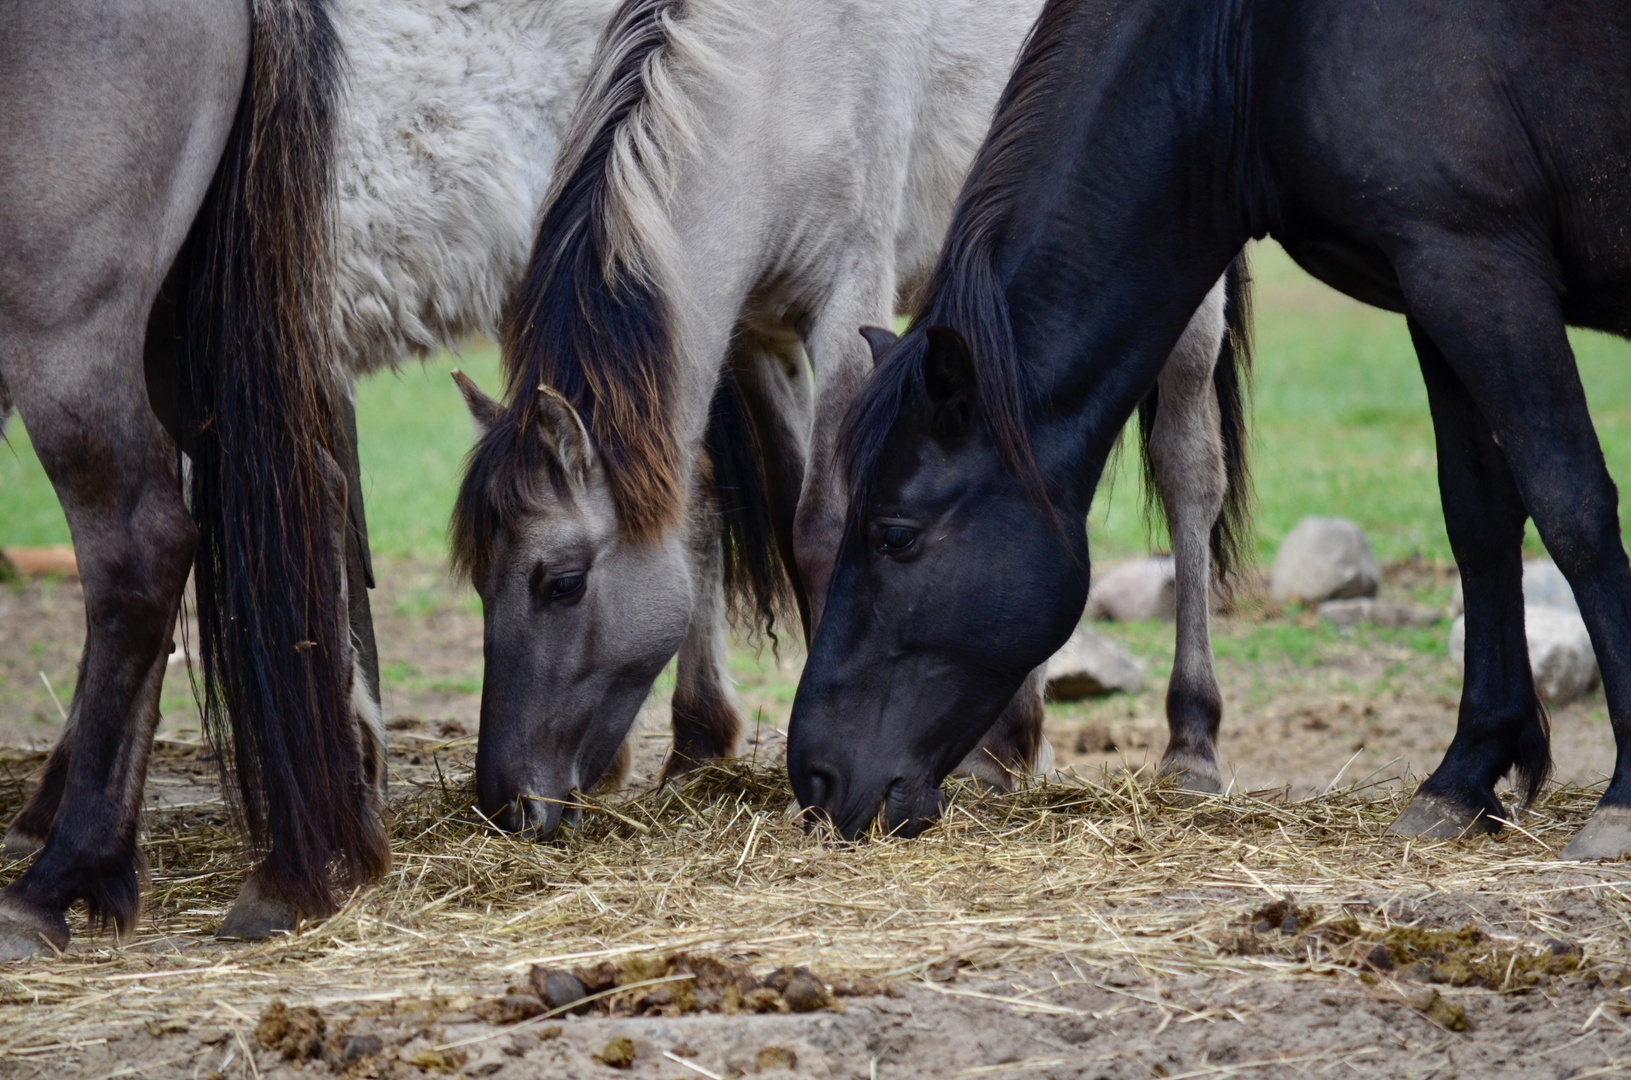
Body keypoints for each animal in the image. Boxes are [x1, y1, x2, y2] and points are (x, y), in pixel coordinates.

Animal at [440, 0, 1239, 835]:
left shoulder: (846, 301)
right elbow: (744, 510)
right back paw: (1011, 743)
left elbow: (822, 522)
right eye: (480, 579)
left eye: (560, 583)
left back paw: (1189, 749)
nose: (506, 803)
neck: (771, 77)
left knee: (1187, 475)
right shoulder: (756, 334)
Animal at [786, 0, 1631, 861]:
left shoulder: (1477, 267)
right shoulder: (1428, 283)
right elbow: (1478, 520)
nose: (814, 778)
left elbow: (1571, 508)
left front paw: (1619, 801)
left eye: (894, 535)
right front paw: (1462, 777)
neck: (1248, 46)